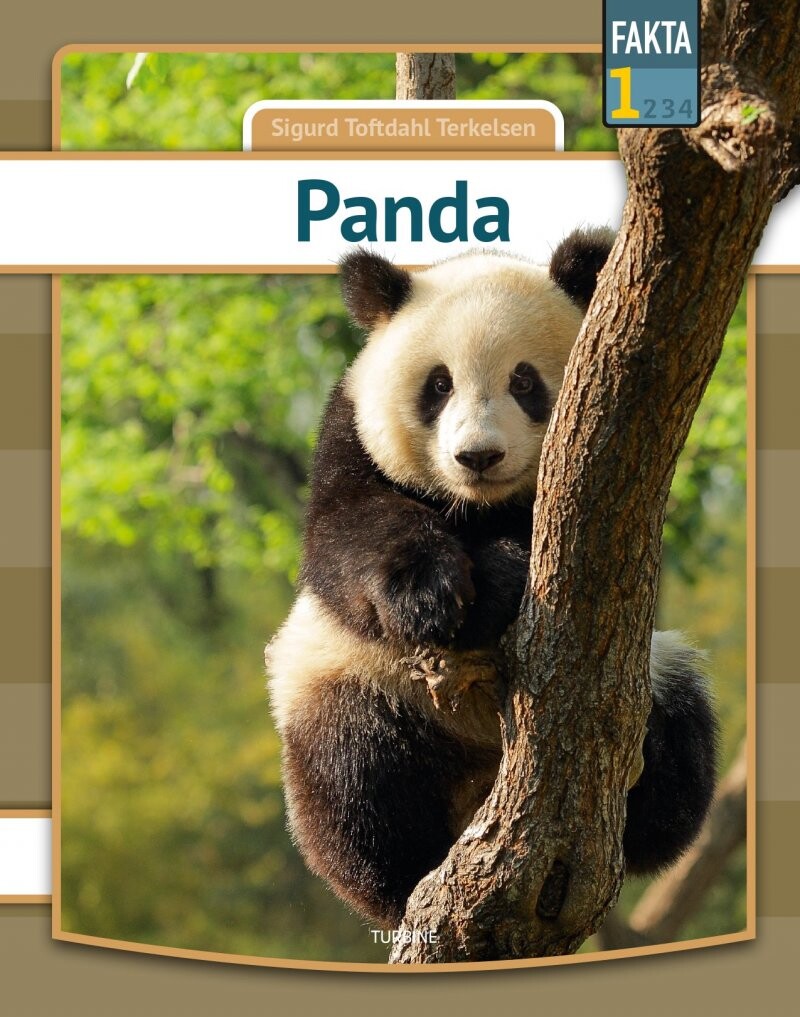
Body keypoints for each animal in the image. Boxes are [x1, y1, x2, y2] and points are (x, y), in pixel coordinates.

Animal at [265, 229, 718, 930]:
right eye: (439, 385)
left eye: (524, 380)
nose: (478, 456)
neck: (478, 506)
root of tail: (479, 784)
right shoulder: (350, 436)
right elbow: (345, 537)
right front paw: (435, 595)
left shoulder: (621, 482)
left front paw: (500, 579)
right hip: (353, 681)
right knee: (351, 773)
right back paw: (399, 877)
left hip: (649, 671)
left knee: (678, 738)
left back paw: (645, 804)